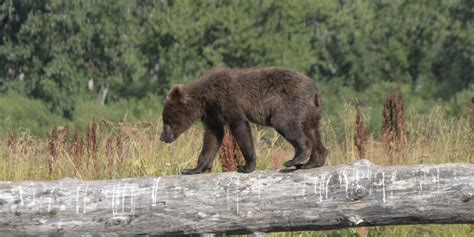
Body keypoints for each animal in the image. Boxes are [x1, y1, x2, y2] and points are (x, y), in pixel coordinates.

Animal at [161, 66, 328, 174]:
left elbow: (239, 126)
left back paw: (295, 158)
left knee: (284, 123)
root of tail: (315, 89)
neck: (206, 98)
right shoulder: (212, 113)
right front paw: (192, 169)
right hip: (310, 112)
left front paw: (246, 166)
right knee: (313, 131)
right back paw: (312, 162)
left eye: (166, 120)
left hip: (288, 102)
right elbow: (212, 137)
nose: (162, 137)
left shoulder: (227, 100)